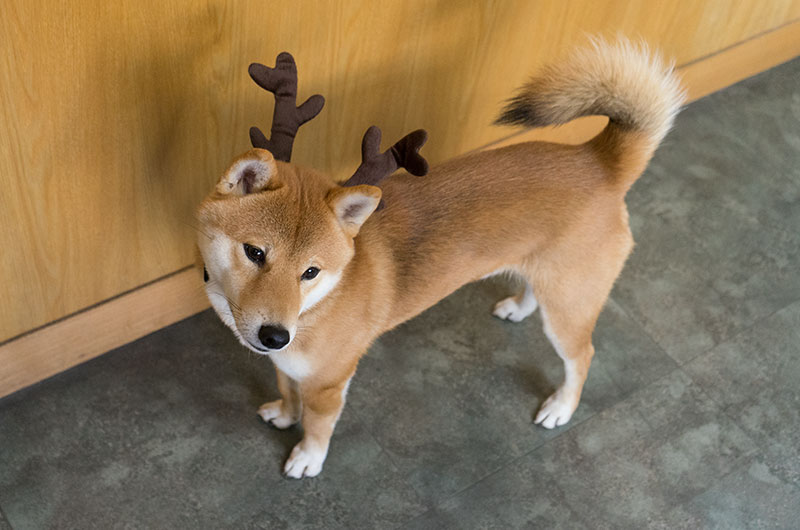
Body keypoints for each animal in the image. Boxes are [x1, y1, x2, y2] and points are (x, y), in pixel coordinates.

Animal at [197, 40, 684, 478]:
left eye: (311, 272)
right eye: (255, 252)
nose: (276, 335)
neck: (321, 303)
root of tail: (599, 161)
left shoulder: (330, 381)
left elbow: (318, 424)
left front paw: (307, 457)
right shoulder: (288, 364)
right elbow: (288, 388)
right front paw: (286, 413)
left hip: (570, 310)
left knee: (581, 357)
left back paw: (561, 406)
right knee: (534, 289)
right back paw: (519, 306)